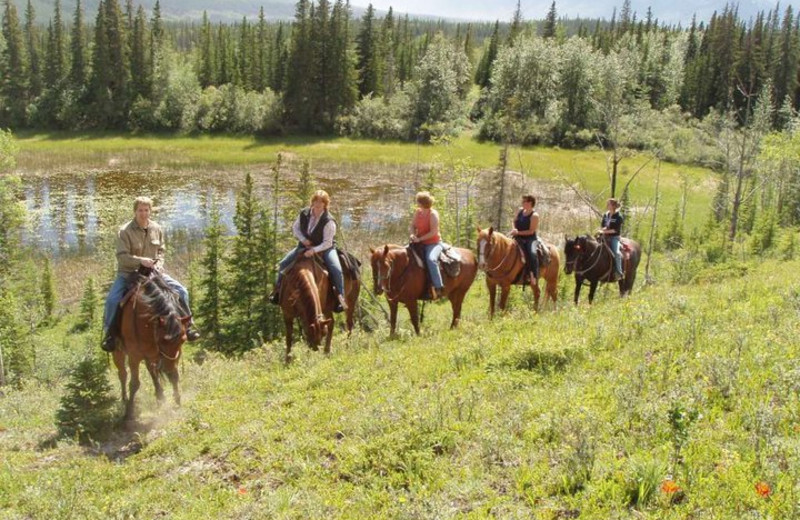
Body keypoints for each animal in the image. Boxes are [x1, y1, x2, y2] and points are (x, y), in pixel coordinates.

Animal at [112, 270, 191, 420]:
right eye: (162, 340)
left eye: (182, 340)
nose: (168, 370)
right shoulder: (134, 356)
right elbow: (134, 384)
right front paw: (128, 413)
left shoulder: (175, 354)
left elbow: (175, 376)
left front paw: (177, 402)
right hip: (118, 351)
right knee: (122, 374)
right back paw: (124, 399)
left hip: (150, 355)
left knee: (152, 371)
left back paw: (160, 396)